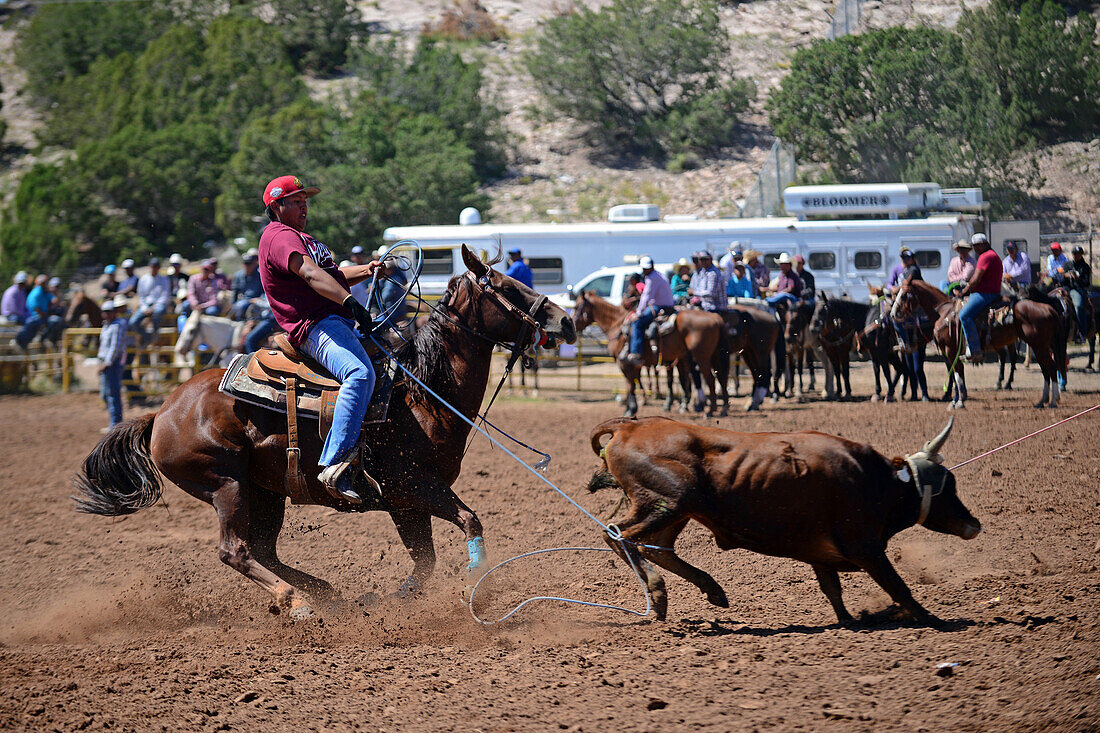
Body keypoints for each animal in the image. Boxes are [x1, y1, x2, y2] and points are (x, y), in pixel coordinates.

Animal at [76, 246, 576, 616]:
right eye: (507, 286)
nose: (567, 319)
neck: (421, 392)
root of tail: (161, 414)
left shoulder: (404, 501)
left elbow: (425, 563)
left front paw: (391, 600)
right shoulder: (414, 484)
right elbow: (469, 521)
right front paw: (476, 582)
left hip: (265, 491)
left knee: (265, 550)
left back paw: (328, 596)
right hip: (225, 484)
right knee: (235, 550)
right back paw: (295, 602)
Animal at [893, 277, 1064, 407]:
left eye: (904, 295)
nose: (894, 313)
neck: (943, 312)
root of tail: (1048, 309)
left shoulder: (950, 350)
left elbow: (957, 374)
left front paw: (959, 401)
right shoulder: (952, 352)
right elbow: (957, 374)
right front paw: (957, 399)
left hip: (1039, 346)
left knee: (1051, 367)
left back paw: (1053, 401)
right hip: (1038, 346)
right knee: (1045, 370)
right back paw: (1042, 401)